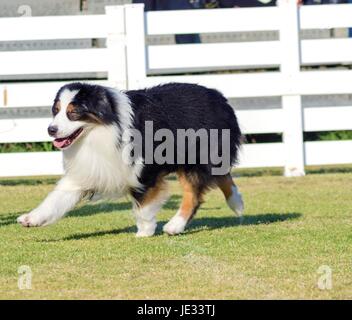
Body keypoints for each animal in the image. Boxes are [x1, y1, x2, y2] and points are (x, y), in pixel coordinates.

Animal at [17, 84, 243, 236]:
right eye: (55, 110)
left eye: (73, 112)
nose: (51, 129)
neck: (102, 129)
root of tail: (220, 97)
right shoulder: (89, 169)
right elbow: (55, 199)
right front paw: (32, 218)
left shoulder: (144, 170)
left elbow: (143, 205)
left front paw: (145, 231)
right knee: (223, 176)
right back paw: (237, 203)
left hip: (195, 156)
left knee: (194, 194)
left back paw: (175, 225)